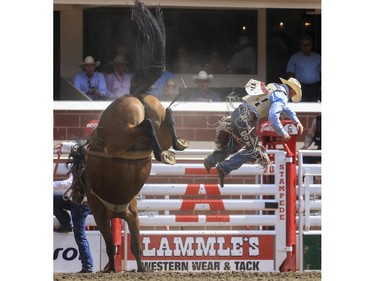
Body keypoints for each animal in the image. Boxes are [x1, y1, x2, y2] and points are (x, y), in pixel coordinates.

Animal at [67, 0, 188, 272]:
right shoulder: (132, 213)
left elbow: (112, 245)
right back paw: (174, 146)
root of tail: (133, 95)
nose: (76, 196)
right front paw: (141, 268)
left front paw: (111, 267)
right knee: (166, 118)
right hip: (155, 116)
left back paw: (161, 152)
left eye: (75, 174)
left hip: (124, 132)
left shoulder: (100, 212)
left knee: (145, 126)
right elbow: (134, 244)